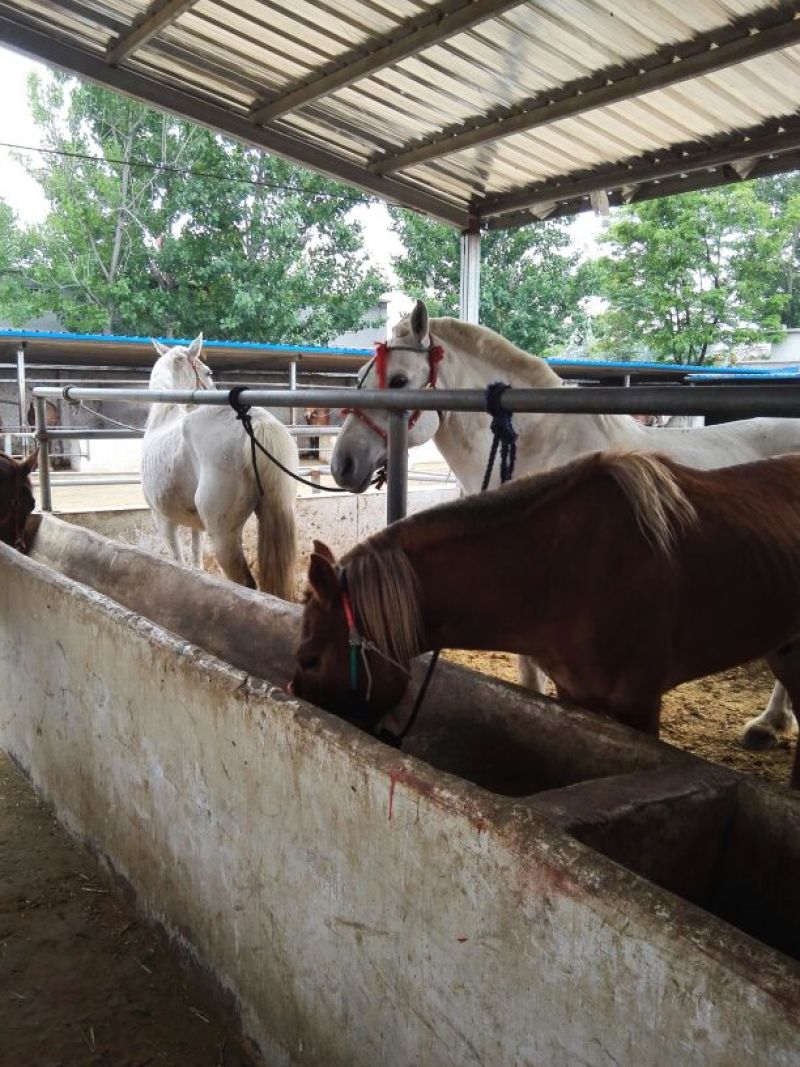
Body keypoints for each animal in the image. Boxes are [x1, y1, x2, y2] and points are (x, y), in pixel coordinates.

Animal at [140, 335, 299, 599]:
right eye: (208, 372)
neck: (163, 418)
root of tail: (256, 423)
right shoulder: (196, 526)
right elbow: (196, 559)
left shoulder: (162, 519)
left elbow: (178, 560)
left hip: (224, 535)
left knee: (246, 584)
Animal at [330, 300, 800, 751]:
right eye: (360, 378)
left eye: (399, 381)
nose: (342, 465)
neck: (538, 447)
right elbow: (527, 669)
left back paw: (769, 724)